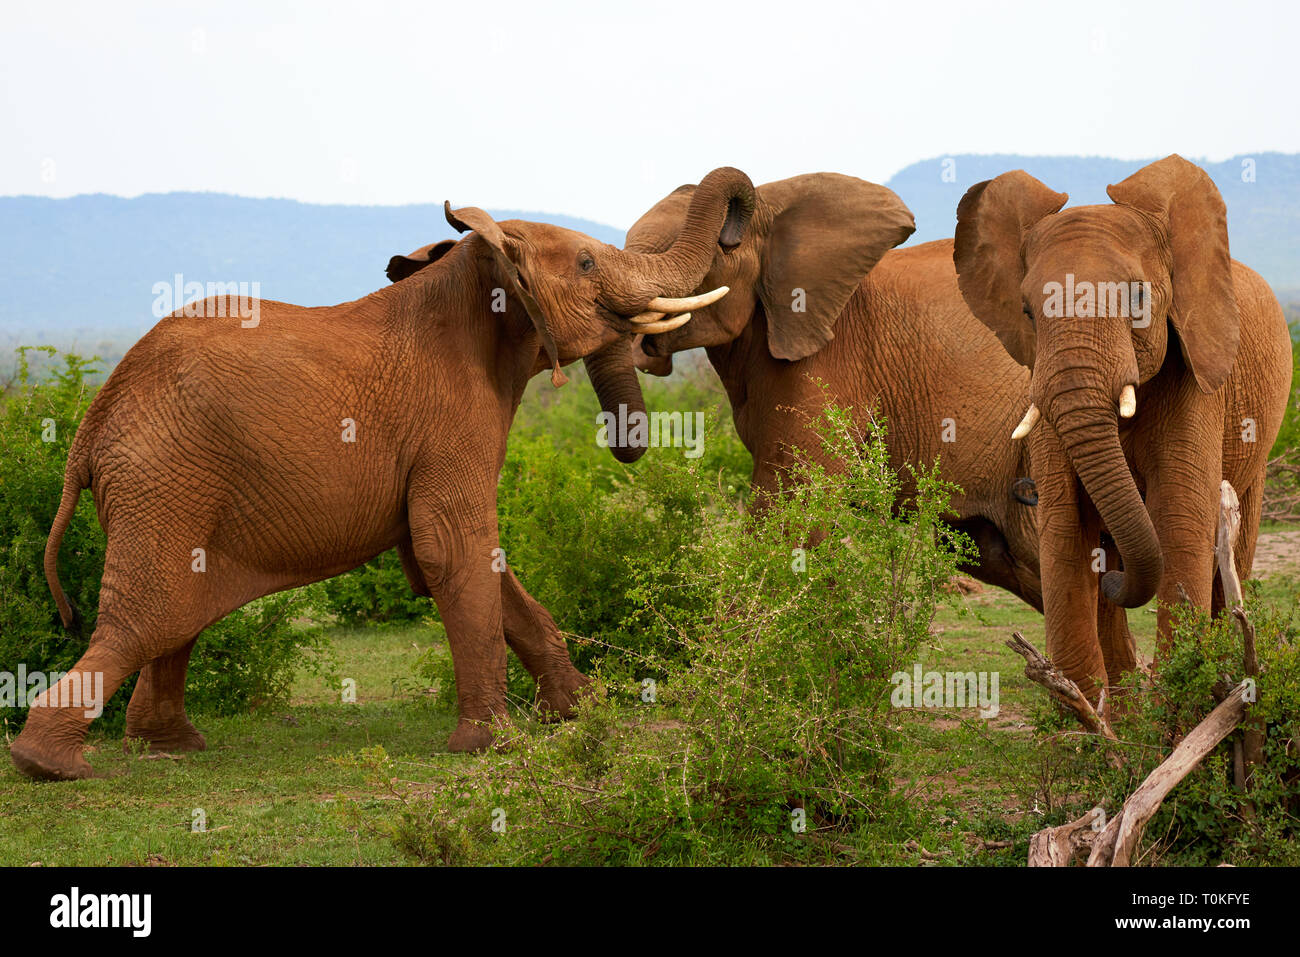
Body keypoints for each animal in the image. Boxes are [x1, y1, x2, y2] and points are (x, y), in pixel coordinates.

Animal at [11, 167, 756, 781]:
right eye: (586, 260)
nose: (738, 223)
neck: (477, 272)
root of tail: (91, 424)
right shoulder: (448, 419)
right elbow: (453, 547)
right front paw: (494, 746)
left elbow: (465, 558)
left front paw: (579, 712)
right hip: (164, 478)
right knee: (147, 617)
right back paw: (49, 765)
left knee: (175, 618)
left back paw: (169, 747)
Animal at [953, 154, 1293, 696]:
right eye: (1027, 311)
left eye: (1137, 299)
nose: (1118, 584)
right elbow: (1065, 526)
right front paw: (1084, 714)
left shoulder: (1197, 376)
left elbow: (1179, 518)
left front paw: (1180, 707)